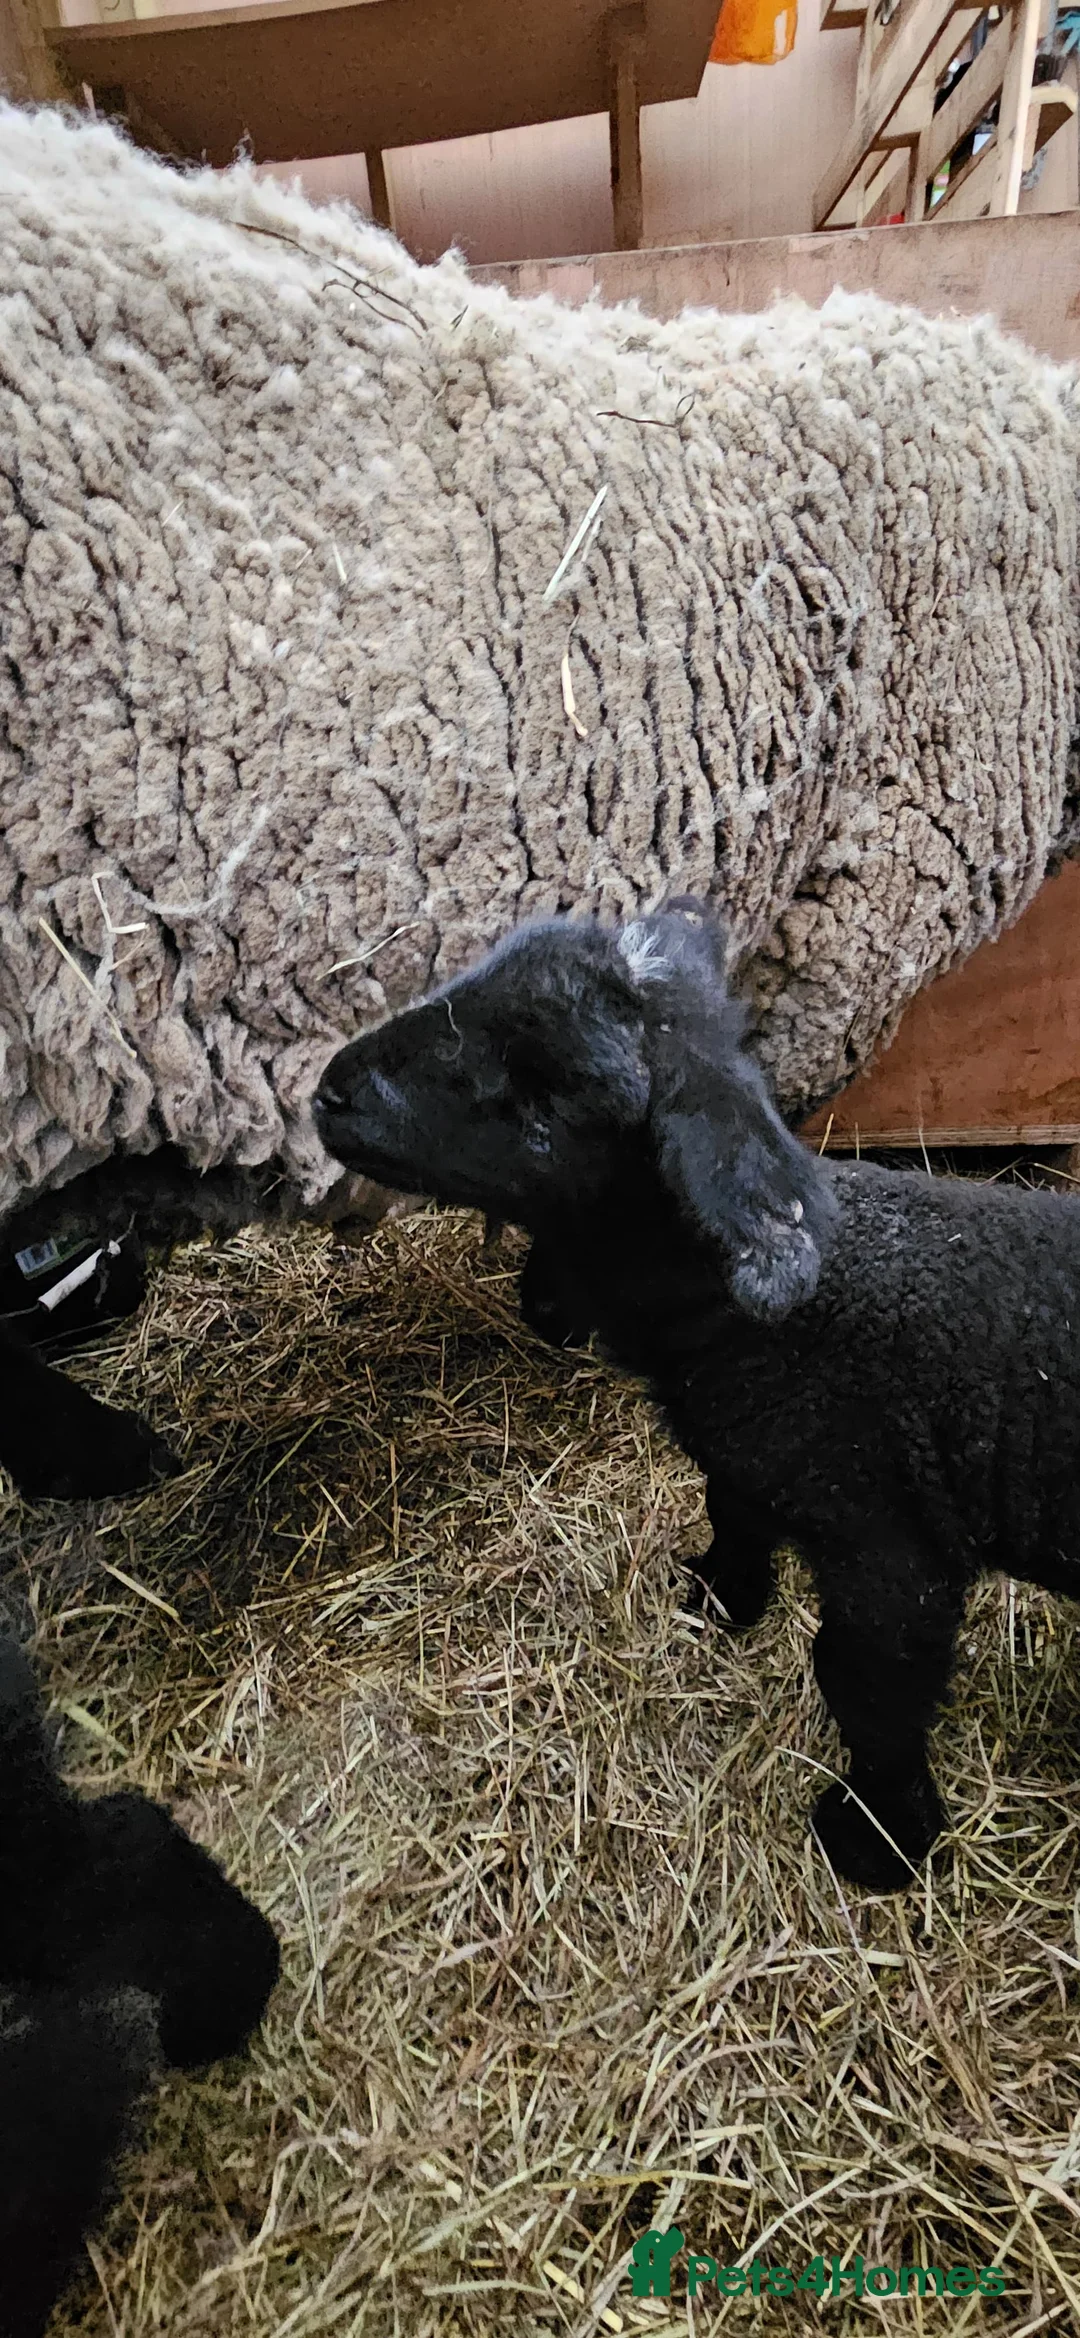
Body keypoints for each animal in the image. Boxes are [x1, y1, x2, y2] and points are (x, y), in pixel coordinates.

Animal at [313, 899, 1080, 1893]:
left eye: (544, 1093)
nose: (330, 1091)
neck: (755, 1326)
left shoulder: (890, 1547)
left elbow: (865, 1685)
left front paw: (879, 1840)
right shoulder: (748, 1459)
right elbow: (731, 1509)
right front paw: (720, 1596)